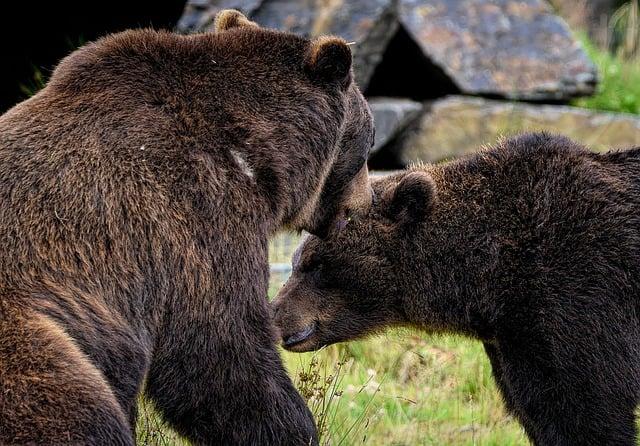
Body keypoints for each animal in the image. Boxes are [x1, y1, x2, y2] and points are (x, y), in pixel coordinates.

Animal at [0, 8, 376, 444]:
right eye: (369, 142)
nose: (368, 201)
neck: (258, 158)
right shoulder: (196, 218)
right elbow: (219, 354)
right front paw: (297, 429)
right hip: (32, 340)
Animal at [272, 132, 640, 446]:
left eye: (317, 264)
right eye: (296, 260)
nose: (276, 315)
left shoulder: (581, 299)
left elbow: (587, 410)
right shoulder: (512, 343)